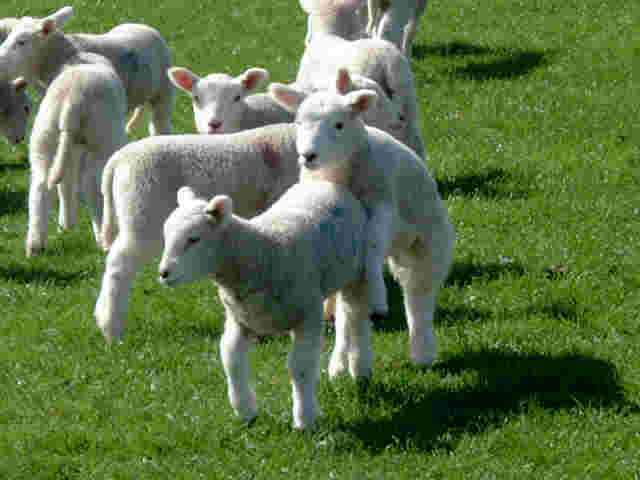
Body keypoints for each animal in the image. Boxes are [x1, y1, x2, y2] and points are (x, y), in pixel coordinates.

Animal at [158, 181, 368, 429]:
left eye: (194, 239)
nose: (163, 273)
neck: (263, 250)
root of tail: (326, 183)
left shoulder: (308, 314)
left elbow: (300, 367)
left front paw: (305, 418)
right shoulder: (240, 319)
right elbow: (231, 359)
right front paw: (245, 410)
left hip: (356, 271)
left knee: (356, 315)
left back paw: (360, 367)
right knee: (344, 316)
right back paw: (339, 365)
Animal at [270, 81, 455, 368]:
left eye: (339, 124)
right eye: (298, 122)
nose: (308, 155)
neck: (340, 172)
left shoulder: (383, 206)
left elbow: (373, 245)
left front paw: (378, 296)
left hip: (429, 243)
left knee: (418, 293)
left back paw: (422, 352)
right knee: (351, 312)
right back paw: (342, 359)